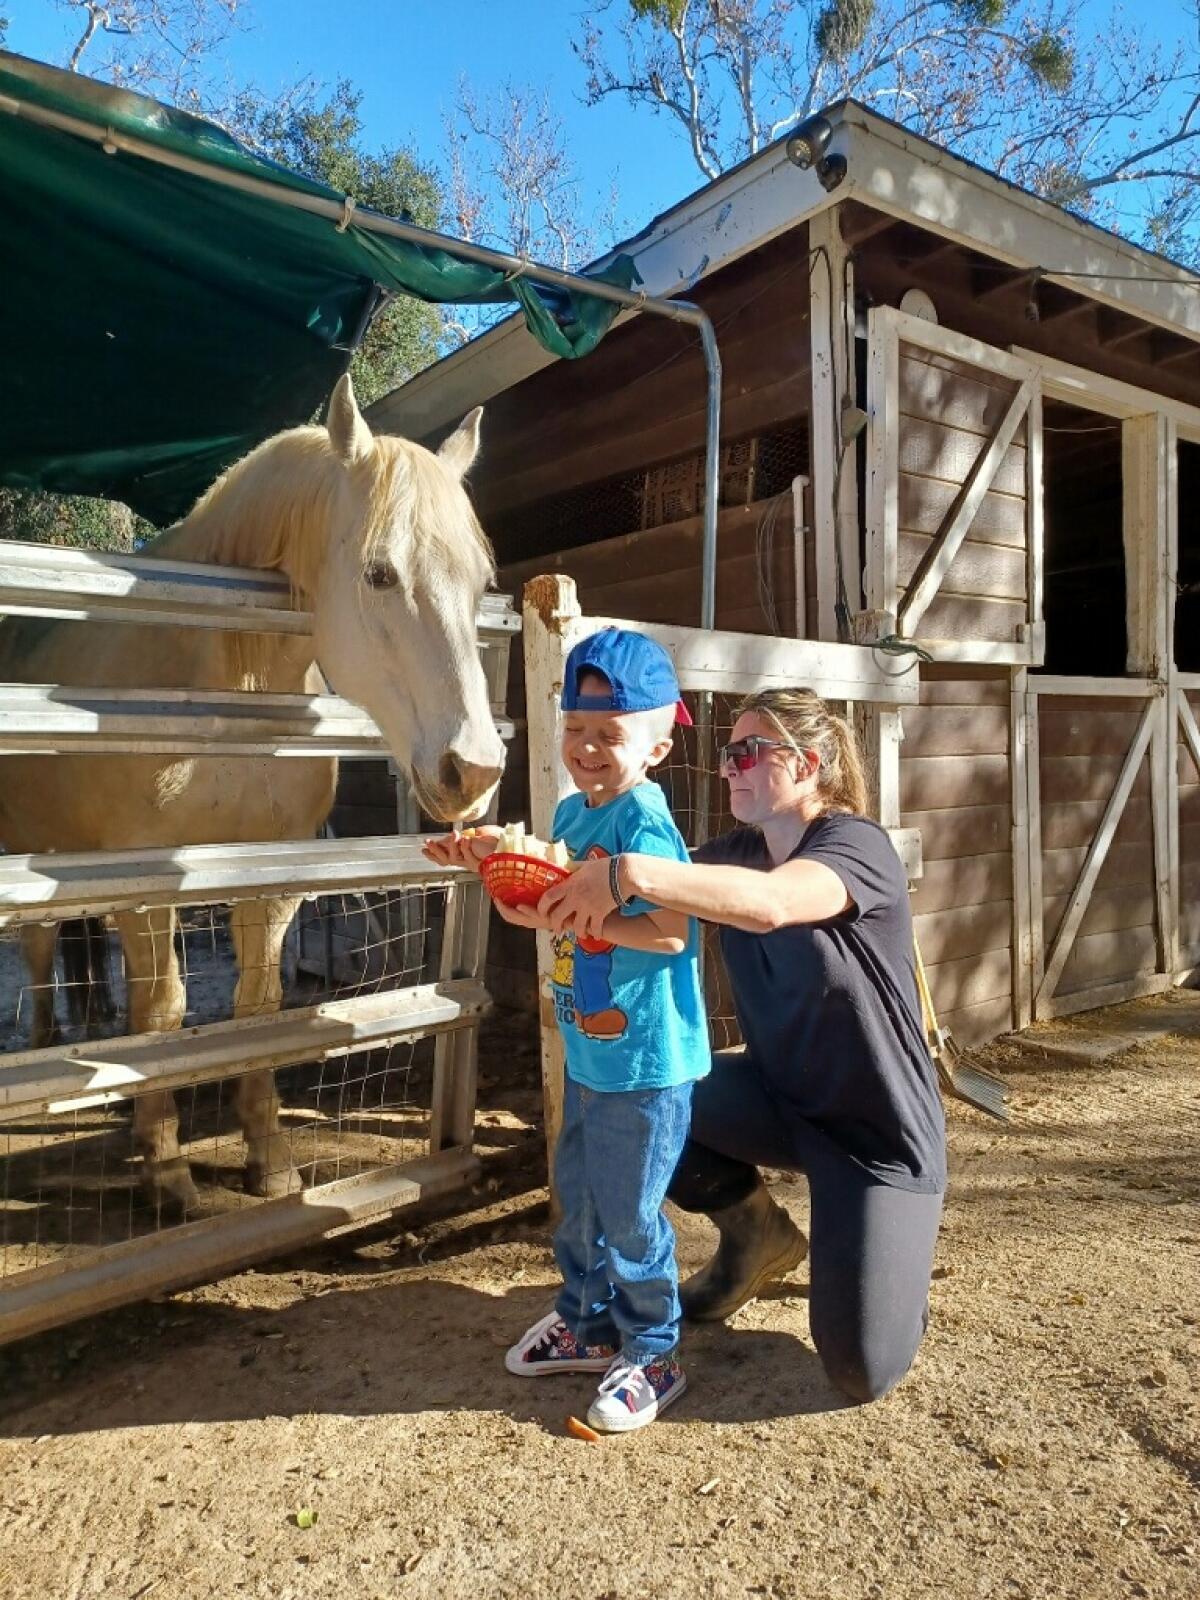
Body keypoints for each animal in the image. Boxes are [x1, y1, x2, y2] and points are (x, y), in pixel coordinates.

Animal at [0, 371, 505, 1203]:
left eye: (481, 582)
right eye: (379, 573)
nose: (475, 769)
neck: (224, 688)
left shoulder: (270, 873)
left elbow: (257, 1010)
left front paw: (268, 1157)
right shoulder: (146, 880)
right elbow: (165, 1015)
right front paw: (168, 1166)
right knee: (43, 955)